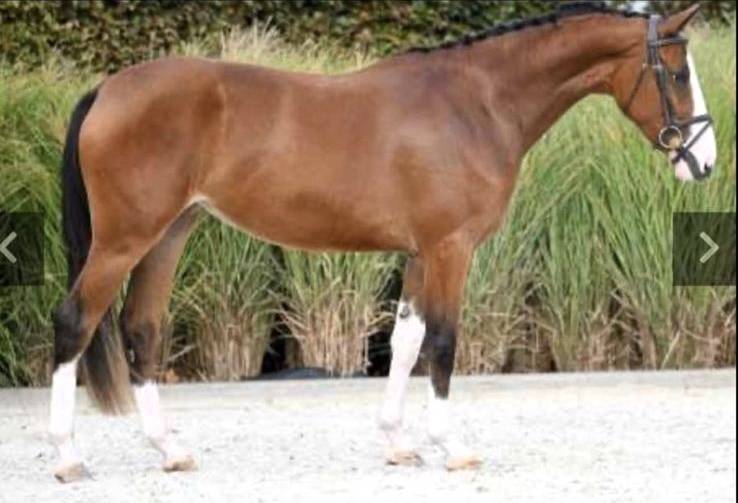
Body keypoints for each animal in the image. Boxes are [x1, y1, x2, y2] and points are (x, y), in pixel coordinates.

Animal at [48, 3, 716, 482]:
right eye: (679, 73)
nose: (704, 161)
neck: (475, 104)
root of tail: (108, 89)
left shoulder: (421, 253)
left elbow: (405, 341)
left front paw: (398, 442)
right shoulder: (450, 249)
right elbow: (443, 343)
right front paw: (452, 446)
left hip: (167, 235)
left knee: (140, 330)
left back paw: (170, 451)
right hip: (122, 241)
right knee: (74, 321)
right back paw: (68, 458)